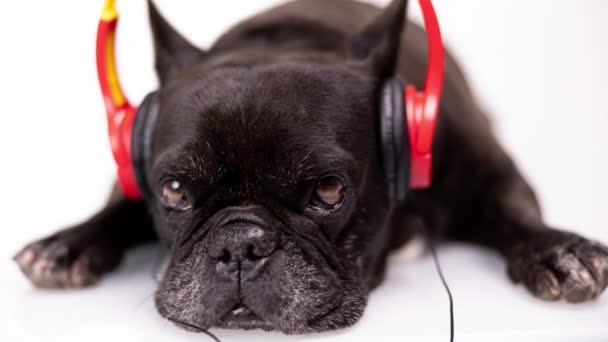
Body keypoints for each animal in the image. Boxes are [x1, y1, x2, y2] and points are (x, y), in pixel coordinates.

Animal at [14, 0, 608, 336]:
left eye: (327, 190)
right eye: (176, 191)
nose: (239, 245)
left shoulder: (487, 166)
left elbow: (514, 209)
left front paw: (557, 249)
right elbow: (118, 204)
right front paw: (67, 244)